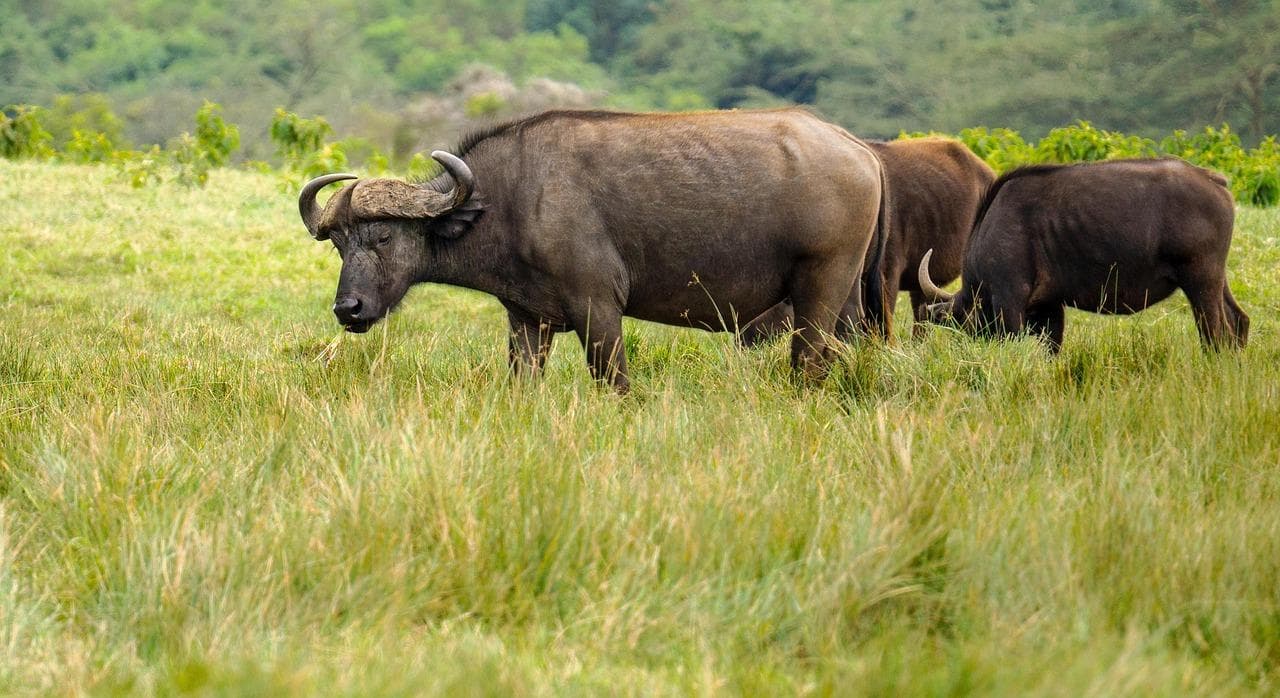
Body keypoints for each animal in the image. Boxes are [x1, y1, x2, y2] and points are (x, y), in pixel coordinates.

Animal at [299, 109, 888, 392]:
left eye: (383, 236)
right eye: (339, 243)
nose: (347, 309)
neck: (510, 201)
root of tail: (860, 150)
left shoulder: (598, 310)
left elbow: (615, 383)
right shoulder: (527, 322)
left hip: (819, 290)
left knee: (808, 361)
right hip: (849, 301)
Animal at [917, 158, 1249, 351]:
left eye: (964, 321)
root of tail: (1212, 179)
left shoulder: (1009, 300)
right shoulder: (1049, 308)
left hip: (1200, 281)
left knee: (1217, 333)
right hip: (1216, 280)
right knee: (1239, 321)